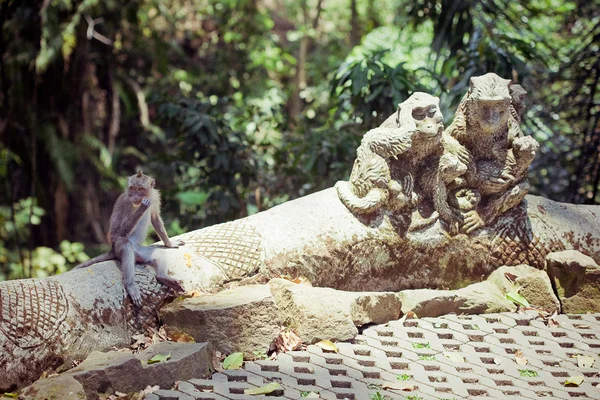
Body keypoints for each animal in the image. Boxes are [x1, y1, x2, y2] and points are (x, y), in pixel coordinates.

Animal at [77, 171, 185, 306]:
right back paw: (130, 285)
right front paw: (142, 207)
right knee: (126, 246)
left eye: (140, 189)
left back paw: (162, 277)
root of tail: (112, 250)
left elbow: (155, 218)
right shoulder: (125, 202)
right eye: (133, 188)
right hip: (118, 248)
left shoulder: (155, 197)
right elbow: (117, 232)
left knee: (159, 254)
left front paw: (169, 244)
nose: (135, 197)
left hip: (141, 253)